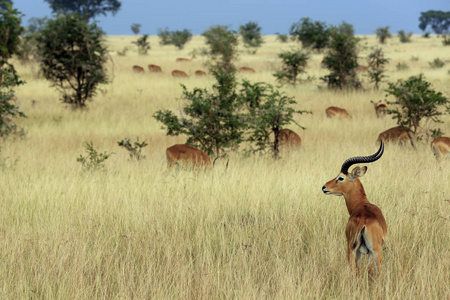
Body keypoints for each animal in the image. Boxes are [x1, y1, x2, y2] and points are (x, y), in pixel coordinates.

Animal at [322, 142, 388, 280]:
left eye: (340, 177)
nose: (324, 187)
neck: (362, 204)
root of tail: (363, 221)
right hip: (374, 252)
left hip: (352, 250)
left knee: (354, 273)